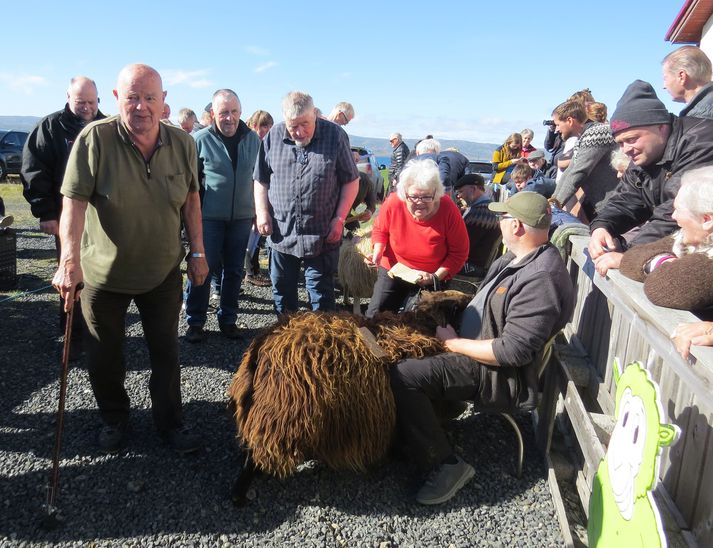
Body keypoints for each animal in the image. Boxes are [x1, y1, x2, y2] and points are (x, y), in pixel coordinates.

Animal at [228, 288, 470, 504]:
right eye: (459, 308)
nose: (459, 407)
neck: (423, 326)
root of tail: (263, 345)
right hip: (281, 417)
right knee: (257, 453)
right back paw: (241, 491)